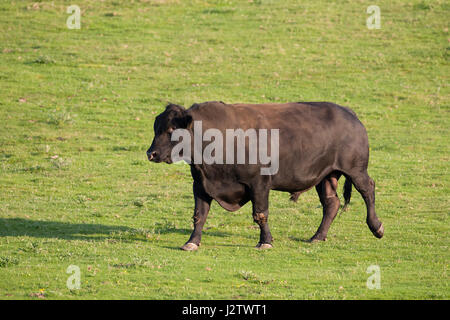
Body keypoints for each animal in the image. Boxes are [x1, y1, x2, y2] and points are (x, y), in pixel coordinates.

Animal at [147, 101, 384, 251]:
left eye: (171, 130)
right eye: (156, 128)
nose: (152, 153)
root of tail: (348, 113)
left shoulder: (259, 184)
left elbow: (260, 214)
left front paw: (265, 241)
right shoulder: (201, 185)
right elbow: (199, 215)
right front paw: (192, 242)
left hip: (355, 170)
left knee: (368, 190)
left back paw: (376, 226)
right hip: (325, 177)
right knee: (331, 204)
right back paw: (317, 237)